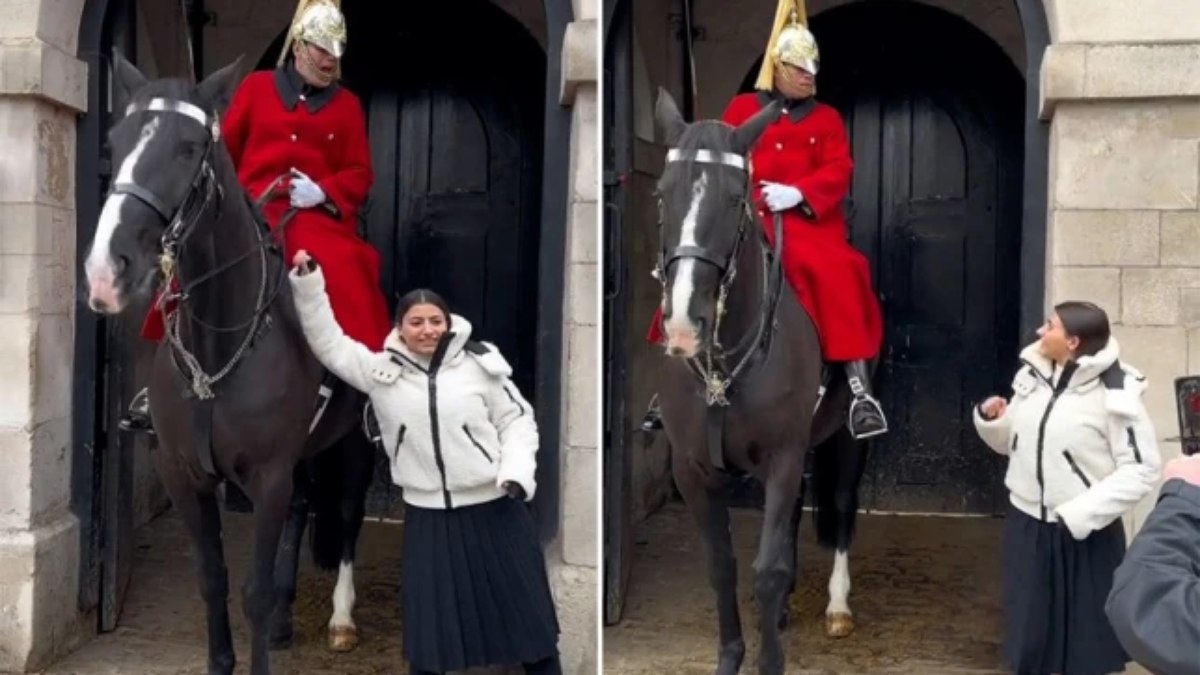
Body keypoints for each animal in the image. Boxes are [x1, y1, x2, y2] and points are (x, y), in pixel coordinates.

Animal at [83, 52, 374, 672]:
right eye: (116, 139)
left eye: (189, 147)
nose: (104, 270)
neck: (217, 349)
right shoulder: (185, 474)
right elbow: (212, 579)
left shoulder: (267, 477)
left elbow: (253, 592)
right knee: (307, 503)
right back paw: (290, 618)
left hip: (359, 438)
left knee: (347, 510)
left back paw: (340, 618)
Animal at [657, 86, 873, 667]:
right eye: (663, 195)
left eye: (737, 198)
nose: (683, 324)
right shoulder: (694, 469)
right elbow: (722, 567)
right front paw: (732, 656)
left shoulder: (782, 456)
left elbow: (767, 570)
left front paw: (770, 659)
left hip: (844, 439)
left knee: (840, 505)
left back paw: (838, 607)